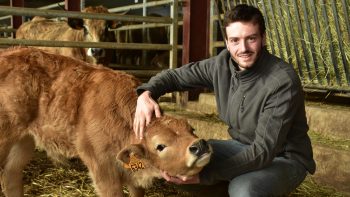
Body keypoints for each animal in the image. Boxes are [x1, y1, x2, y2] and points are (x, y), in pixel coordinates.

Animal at [0, 47, 211, 197]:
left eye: (191, 129)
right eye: (160, 146)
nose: (199, 145)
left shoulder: (133, 178)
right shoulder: (101, 169)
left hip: (24, 141)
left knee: (11, 175)